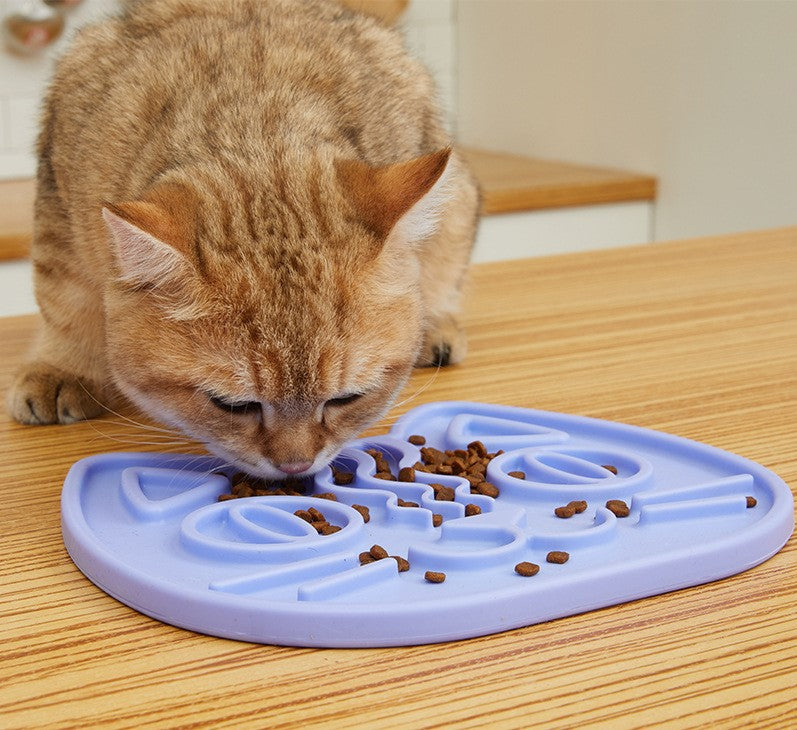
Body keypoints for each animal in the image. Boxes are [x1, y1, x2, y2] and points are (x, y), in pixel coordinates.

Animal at [7, 0, 478, 480]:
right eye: (232, 405)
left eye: (346, 399)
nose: (295, 465)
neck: (255, 124)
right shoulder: (61, 210)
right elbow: (66, 302)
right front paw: (65, 368)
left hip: (456, 198)